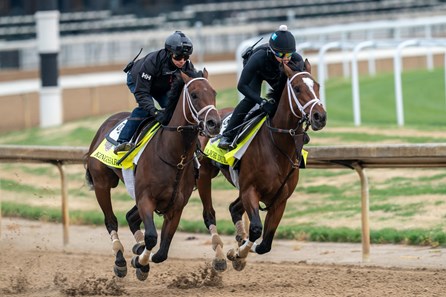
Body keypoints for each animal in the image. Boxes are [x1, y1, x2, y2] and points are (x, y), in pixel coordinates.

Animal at [84, 69, 221, 280]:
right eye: (194, 95)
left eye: (214, 92)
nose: (215, 123)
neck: (173, 157)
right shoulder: (145, 199)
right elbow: (151, 237)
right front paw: (139, 263)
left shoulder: (175, 207)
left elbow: (162, 250)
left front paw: (142, 259)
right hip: (102, 183)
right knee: (111, 221)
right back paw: (120, 260)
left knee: (131, 217)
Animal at [197, 59, 326, 270]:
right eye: (297, 88)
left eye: (316, 86)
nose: (319, 117)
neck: (277, 147)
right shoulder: (250, 190)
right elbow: (257, 229)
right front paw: (238, 254)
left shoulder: (280, 199)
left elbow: (265, 243)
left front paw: (240, 252)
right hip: (204, 175)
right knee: (209, 214)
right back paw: (220, 257)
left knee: (234, 208)